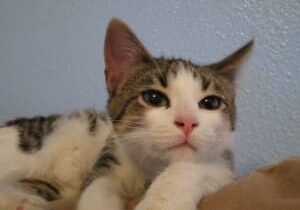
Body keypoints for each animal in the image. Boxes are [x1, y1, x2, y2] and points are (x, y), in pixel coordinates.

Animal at [0, 18, 253, 210]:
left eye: (210, 103)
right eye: (153, 98)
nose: (188, 122)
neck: (149, 171)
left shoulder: (225, 167)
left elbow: (192, 167)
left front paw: (159, 202)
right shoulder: (107, 159)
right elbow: (97, 186)